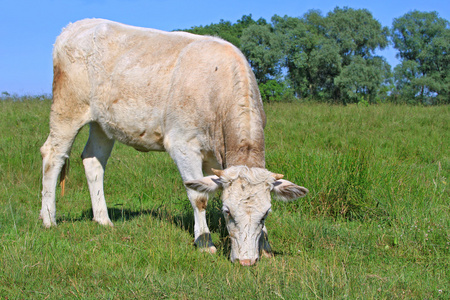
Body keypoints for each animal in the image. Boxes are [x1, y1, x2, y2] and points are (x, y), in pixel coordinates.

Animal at [41, 18, 310, 266]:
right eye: (227, 212)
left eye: (266, 214)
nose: (246, 261)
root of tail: (77, 25)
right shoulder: (183, 145)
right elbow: (198, 196)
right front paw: (204, 242)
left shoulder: (216, 158)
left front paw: (265, 246)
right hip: (67, 108)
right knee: (52, 155)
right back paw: (48, 219)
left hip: (102, 124)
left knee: (93, 161)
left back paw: (103, 219)